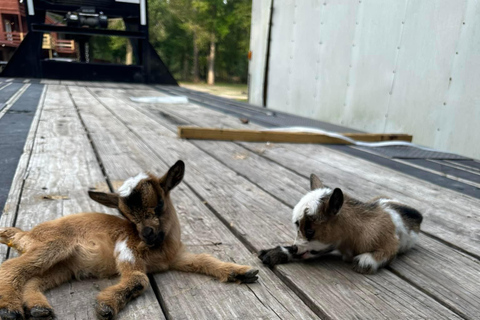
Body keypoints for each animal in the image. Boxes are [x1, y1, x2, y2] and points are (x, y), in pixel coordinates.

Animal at [0, 161, 258, 318]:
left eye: (160, 204)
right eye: (125, 215)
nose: (147, 234)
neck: (160, 250)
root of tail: (24, 234)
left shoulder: (177, 257)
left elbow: (205, 258)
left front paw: (241, 272)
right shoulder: (127, 247)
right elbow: (139, 278)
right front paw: (107, 305)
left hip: (62, 267)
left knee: (32, 280)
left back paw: (38, 308)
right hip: (54, 245)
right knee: (10, 268)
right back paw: (9, 309)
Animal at [260, 174, 422, 274]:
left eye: (310, 231)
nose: (294, 248)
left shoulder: (390, 242)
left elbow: (386, 253)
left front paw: (364, 262)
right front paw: (274, 253)